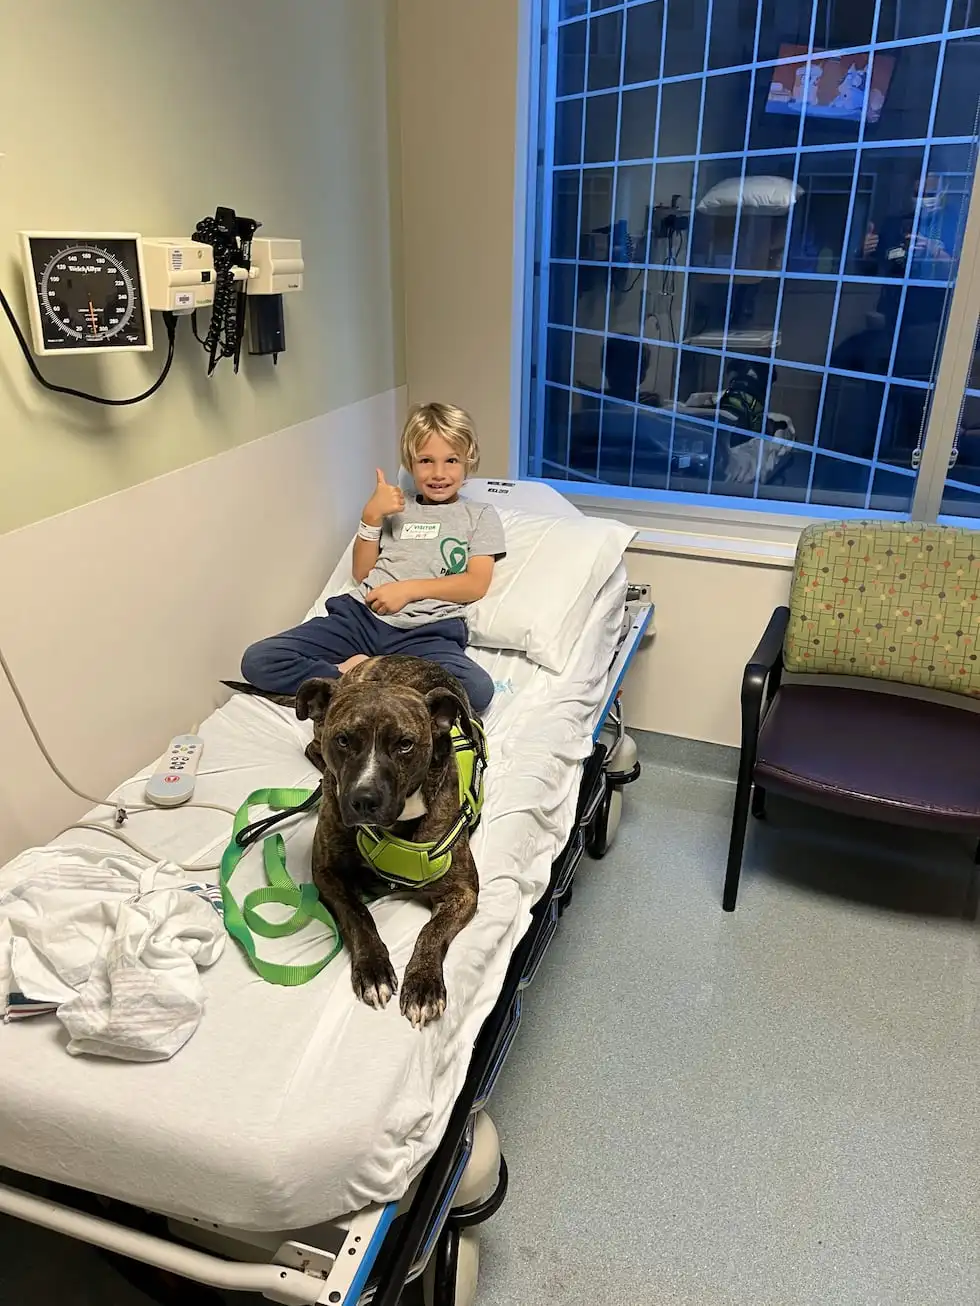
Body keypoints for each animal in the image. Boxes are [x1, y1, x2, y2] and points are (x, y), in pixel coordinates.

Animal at [223, 658, 483, 1023]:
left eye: (405, 744)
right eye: (344, 740)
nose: (364, 799)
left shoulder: (463, 891)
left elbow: (431, 931)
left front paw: (423, 983)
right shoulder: (327, 873)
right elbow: (358, 915)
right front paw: (373, 970)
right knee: (311, 748)